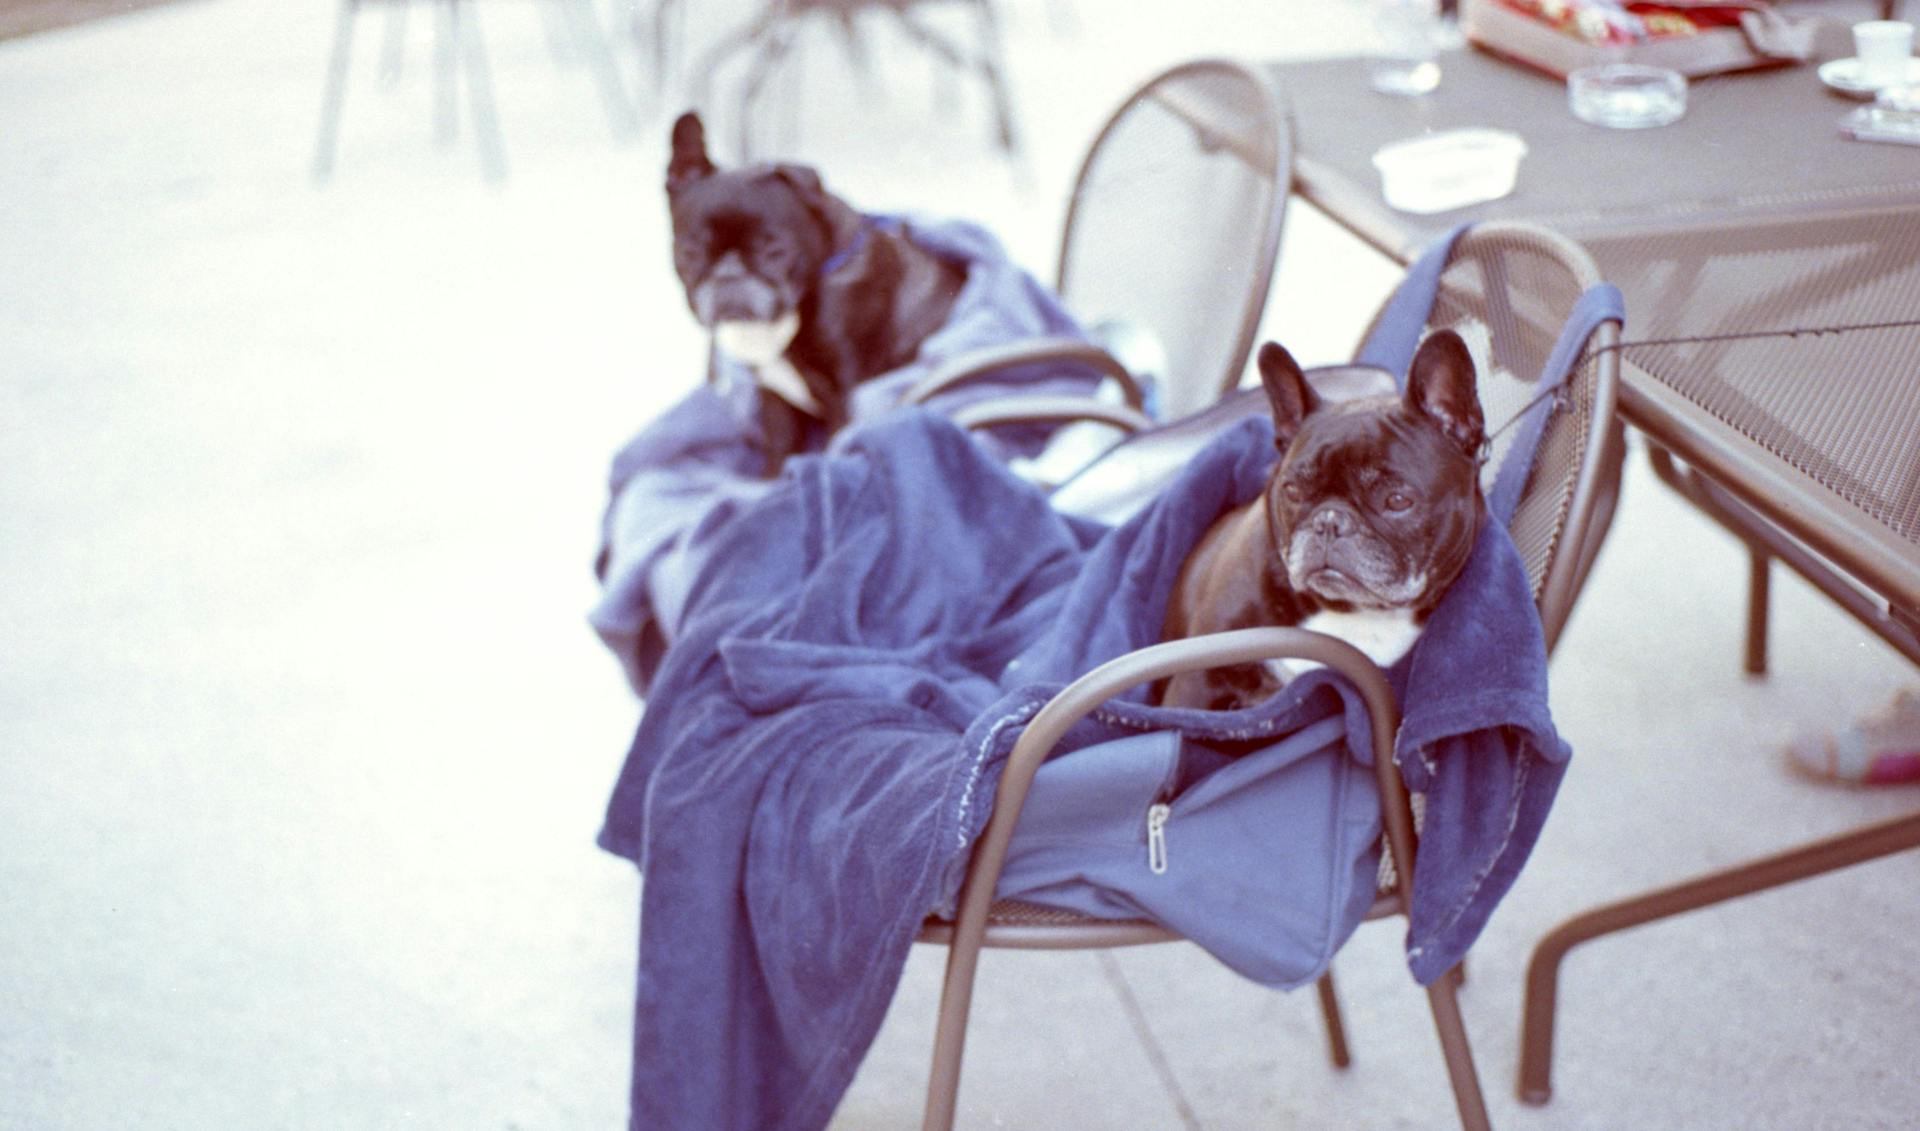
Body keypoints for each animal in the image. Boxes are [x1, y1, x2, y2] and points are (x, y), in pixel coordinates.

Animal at [668, 108, 967, 474]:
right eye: (690, 253)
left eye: (776, 252)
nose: (729, 276)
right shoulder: (775, 400)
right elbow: (779, 451)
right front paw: (771, 482)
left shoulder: (845, 394)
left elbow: (835, 447)